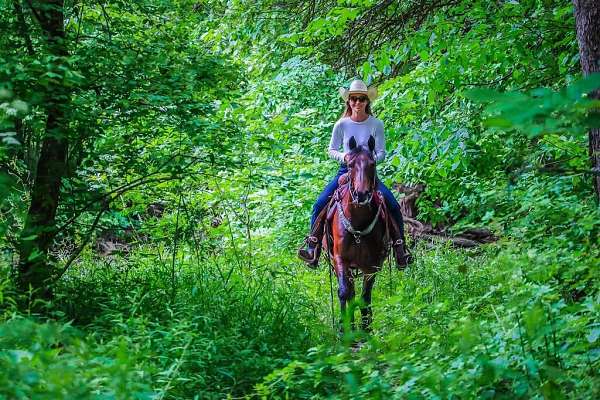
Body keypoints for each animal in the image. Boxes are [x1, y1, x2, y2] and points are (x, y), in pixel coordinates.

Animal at [324, 136, 390, 332]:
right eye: (350, 164)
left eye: (372, 163)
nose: (362, 194)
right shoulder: (340, 259)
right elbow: (344, 292)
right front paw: (344, 327)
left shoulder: (373, 264)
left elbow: (365, 296)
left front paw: (366, 328)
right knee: (349, 291)